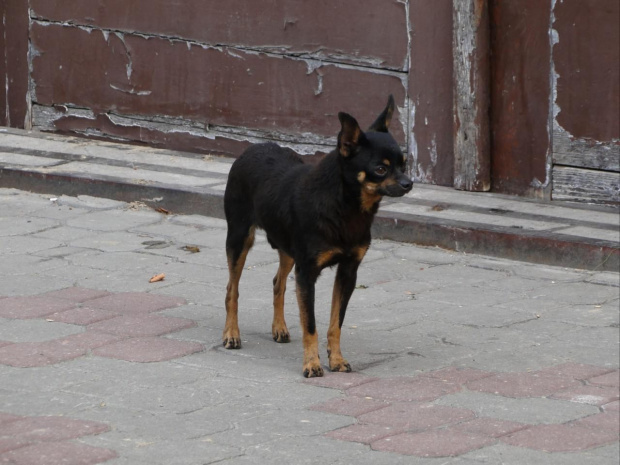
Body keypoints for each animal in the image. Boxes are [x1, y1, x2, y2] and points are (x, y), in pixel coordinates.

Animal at [222, 96, 412, 376]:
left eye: (404, 164)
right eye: (380, 169)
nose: (409, 183)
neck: (346, 207)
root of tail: (253, 147)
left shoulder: (347, 272)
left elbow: (335, 324)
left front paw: (336, 360)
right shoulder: (307, 274)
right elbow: (310, 325)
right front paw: (312, 363)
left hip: (288, 251)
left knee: (278, 283)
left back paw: (279, 328)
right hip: (239, 239)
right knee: (232, 289)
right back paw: (231, 334)